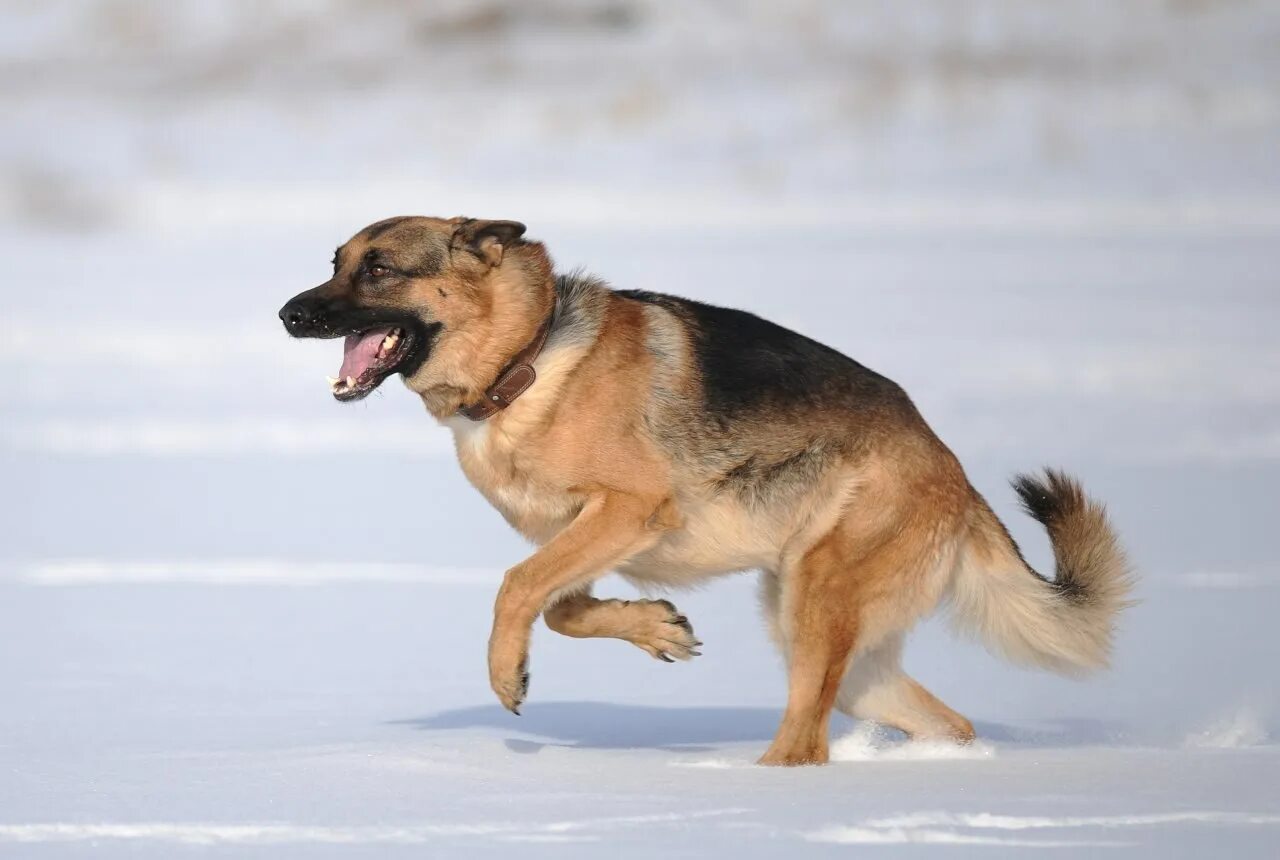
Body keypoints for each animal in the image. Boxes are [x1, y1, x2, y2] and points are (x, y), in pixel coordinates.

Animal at [277, 215, 1131, 767]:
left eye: (379, 269)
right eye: (336, 262)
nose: (288, 313)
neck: (527, 357)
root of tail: (954, 475)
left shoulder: (628, 509)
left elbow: (517, 588)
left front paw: (504, 673)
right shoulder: (587, 534)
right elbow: (559, 606)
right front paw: (655, 628)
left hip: (818, 607)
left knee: (805, 744)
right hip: (835, 645)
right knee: (941, 722)